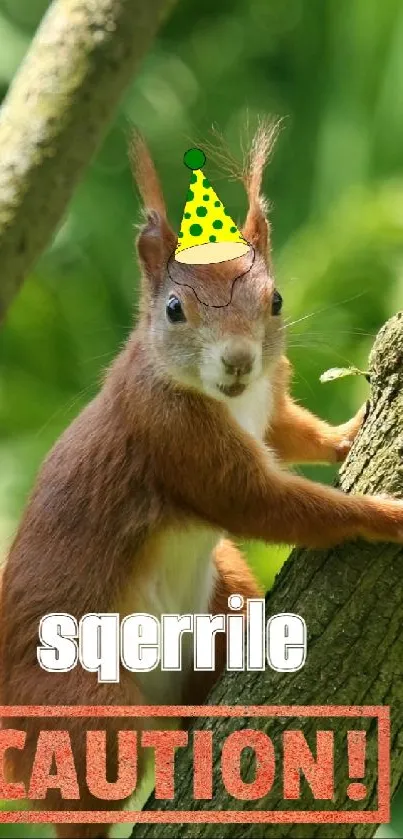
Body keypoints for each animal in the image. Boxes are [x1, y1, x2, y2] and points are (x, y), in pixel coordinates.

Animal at [0, 126, 403, 839]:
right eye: (173, 309)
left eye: (276, 300)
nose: (238, 361)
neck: (227, 399)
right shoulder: (175, 439)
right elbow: (264, 503)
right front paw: (386, 514)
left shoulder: (267, 406)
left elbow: (290, 436)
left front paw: (351, 430)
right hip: (79, 705)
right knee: (87, 788)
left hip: (224, 595)